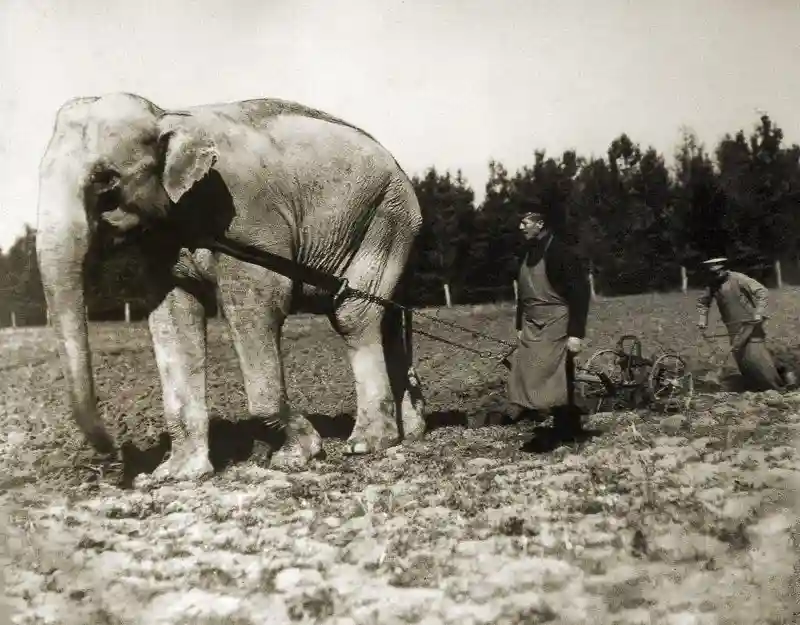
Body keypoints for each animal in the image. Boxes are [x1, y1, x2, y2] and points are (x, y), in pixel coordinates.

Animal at [37, 92, 428, 482]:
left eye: (105, 181)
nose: (115, 454)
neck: (166, 114)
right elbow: (173, 319)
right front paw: (177, 474)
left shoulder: (247, 220)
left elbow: (260, 303)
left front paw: (297, 455)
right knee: (387, 318)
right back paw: (412, 430)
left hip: (385, 217)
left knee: (354, 315)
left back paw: (366, 444)